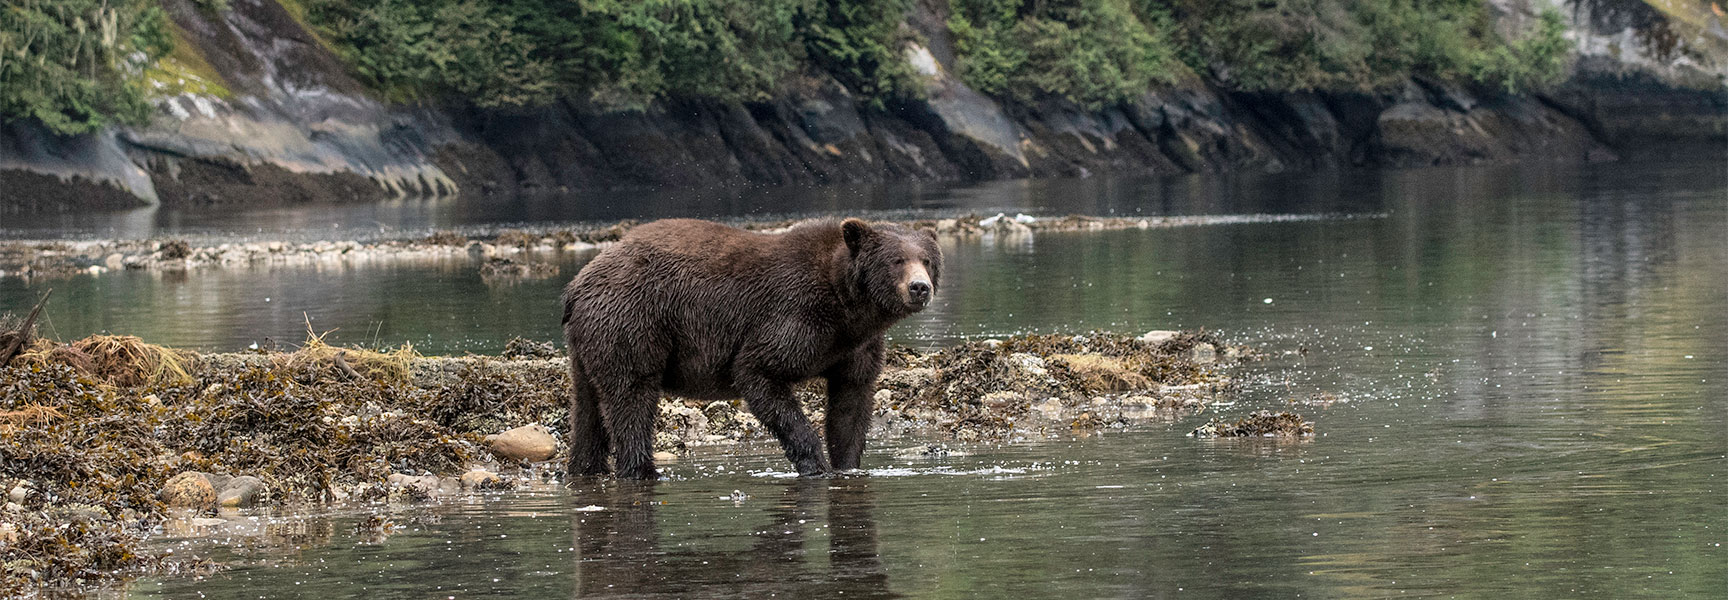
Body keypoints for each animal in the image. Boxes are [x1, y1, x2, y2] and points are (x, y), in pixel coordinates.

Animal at [561, 218, 942, 479]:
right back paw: (643, 470)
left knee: (588, 412)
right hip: (632, 322)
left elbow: (851, 406)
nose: (919, 287)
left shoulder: (856, 347)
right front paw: (814, 463)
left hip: (588, 344)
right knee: (632, 397)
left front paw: (847, 465)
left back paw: (585, 467)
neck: (847, 305)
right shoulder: (794, 316)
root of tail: (577, 284)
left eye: (926, 259)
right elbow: (758, 371)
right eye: (896, 260)